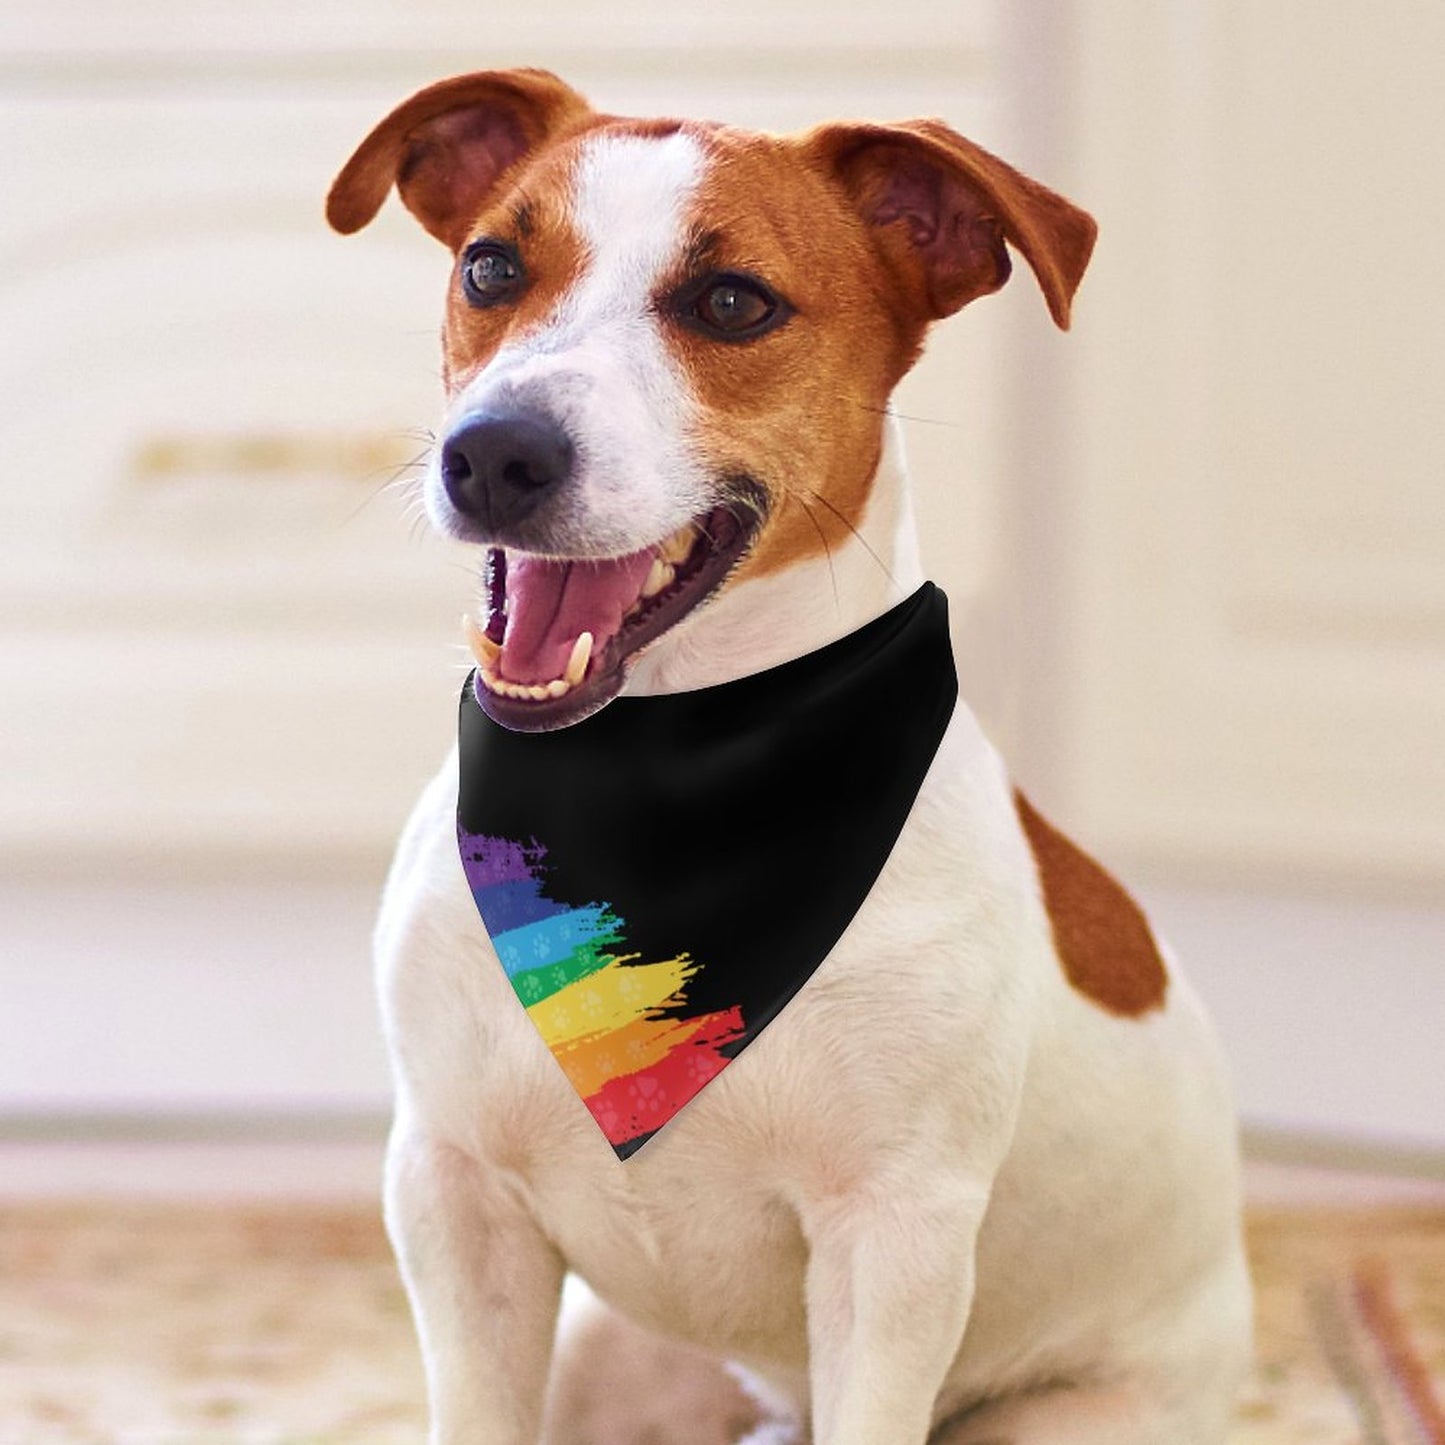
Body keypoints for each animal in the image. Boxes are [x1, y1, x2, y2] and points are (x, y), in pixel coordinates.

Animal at [328, 67, 1254, 1445]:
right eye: (492, 266)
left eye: (731, 302)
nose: (493, 451)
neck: (656, 769)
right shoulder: (453, 1194)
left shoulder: (894, 1238)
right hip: (608, 1356)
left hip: (1064, 1414)